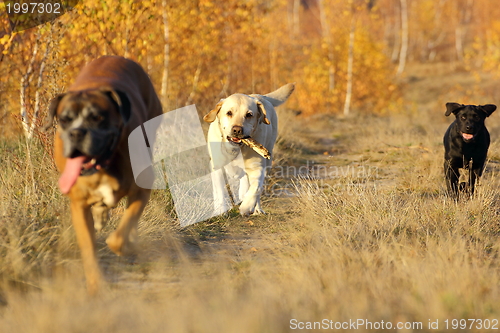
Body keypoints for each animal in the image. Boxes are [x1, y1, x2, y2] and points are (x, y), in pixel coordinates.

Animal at [44, 55, 162, 292]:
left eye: (97, 117)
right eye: (64, 119)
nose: (76, 132)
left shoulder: (142, 189)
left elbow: (119, 235)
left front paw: (126, 246)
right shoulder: (78, 206)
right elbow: (89, 247)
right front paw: (96, 283)